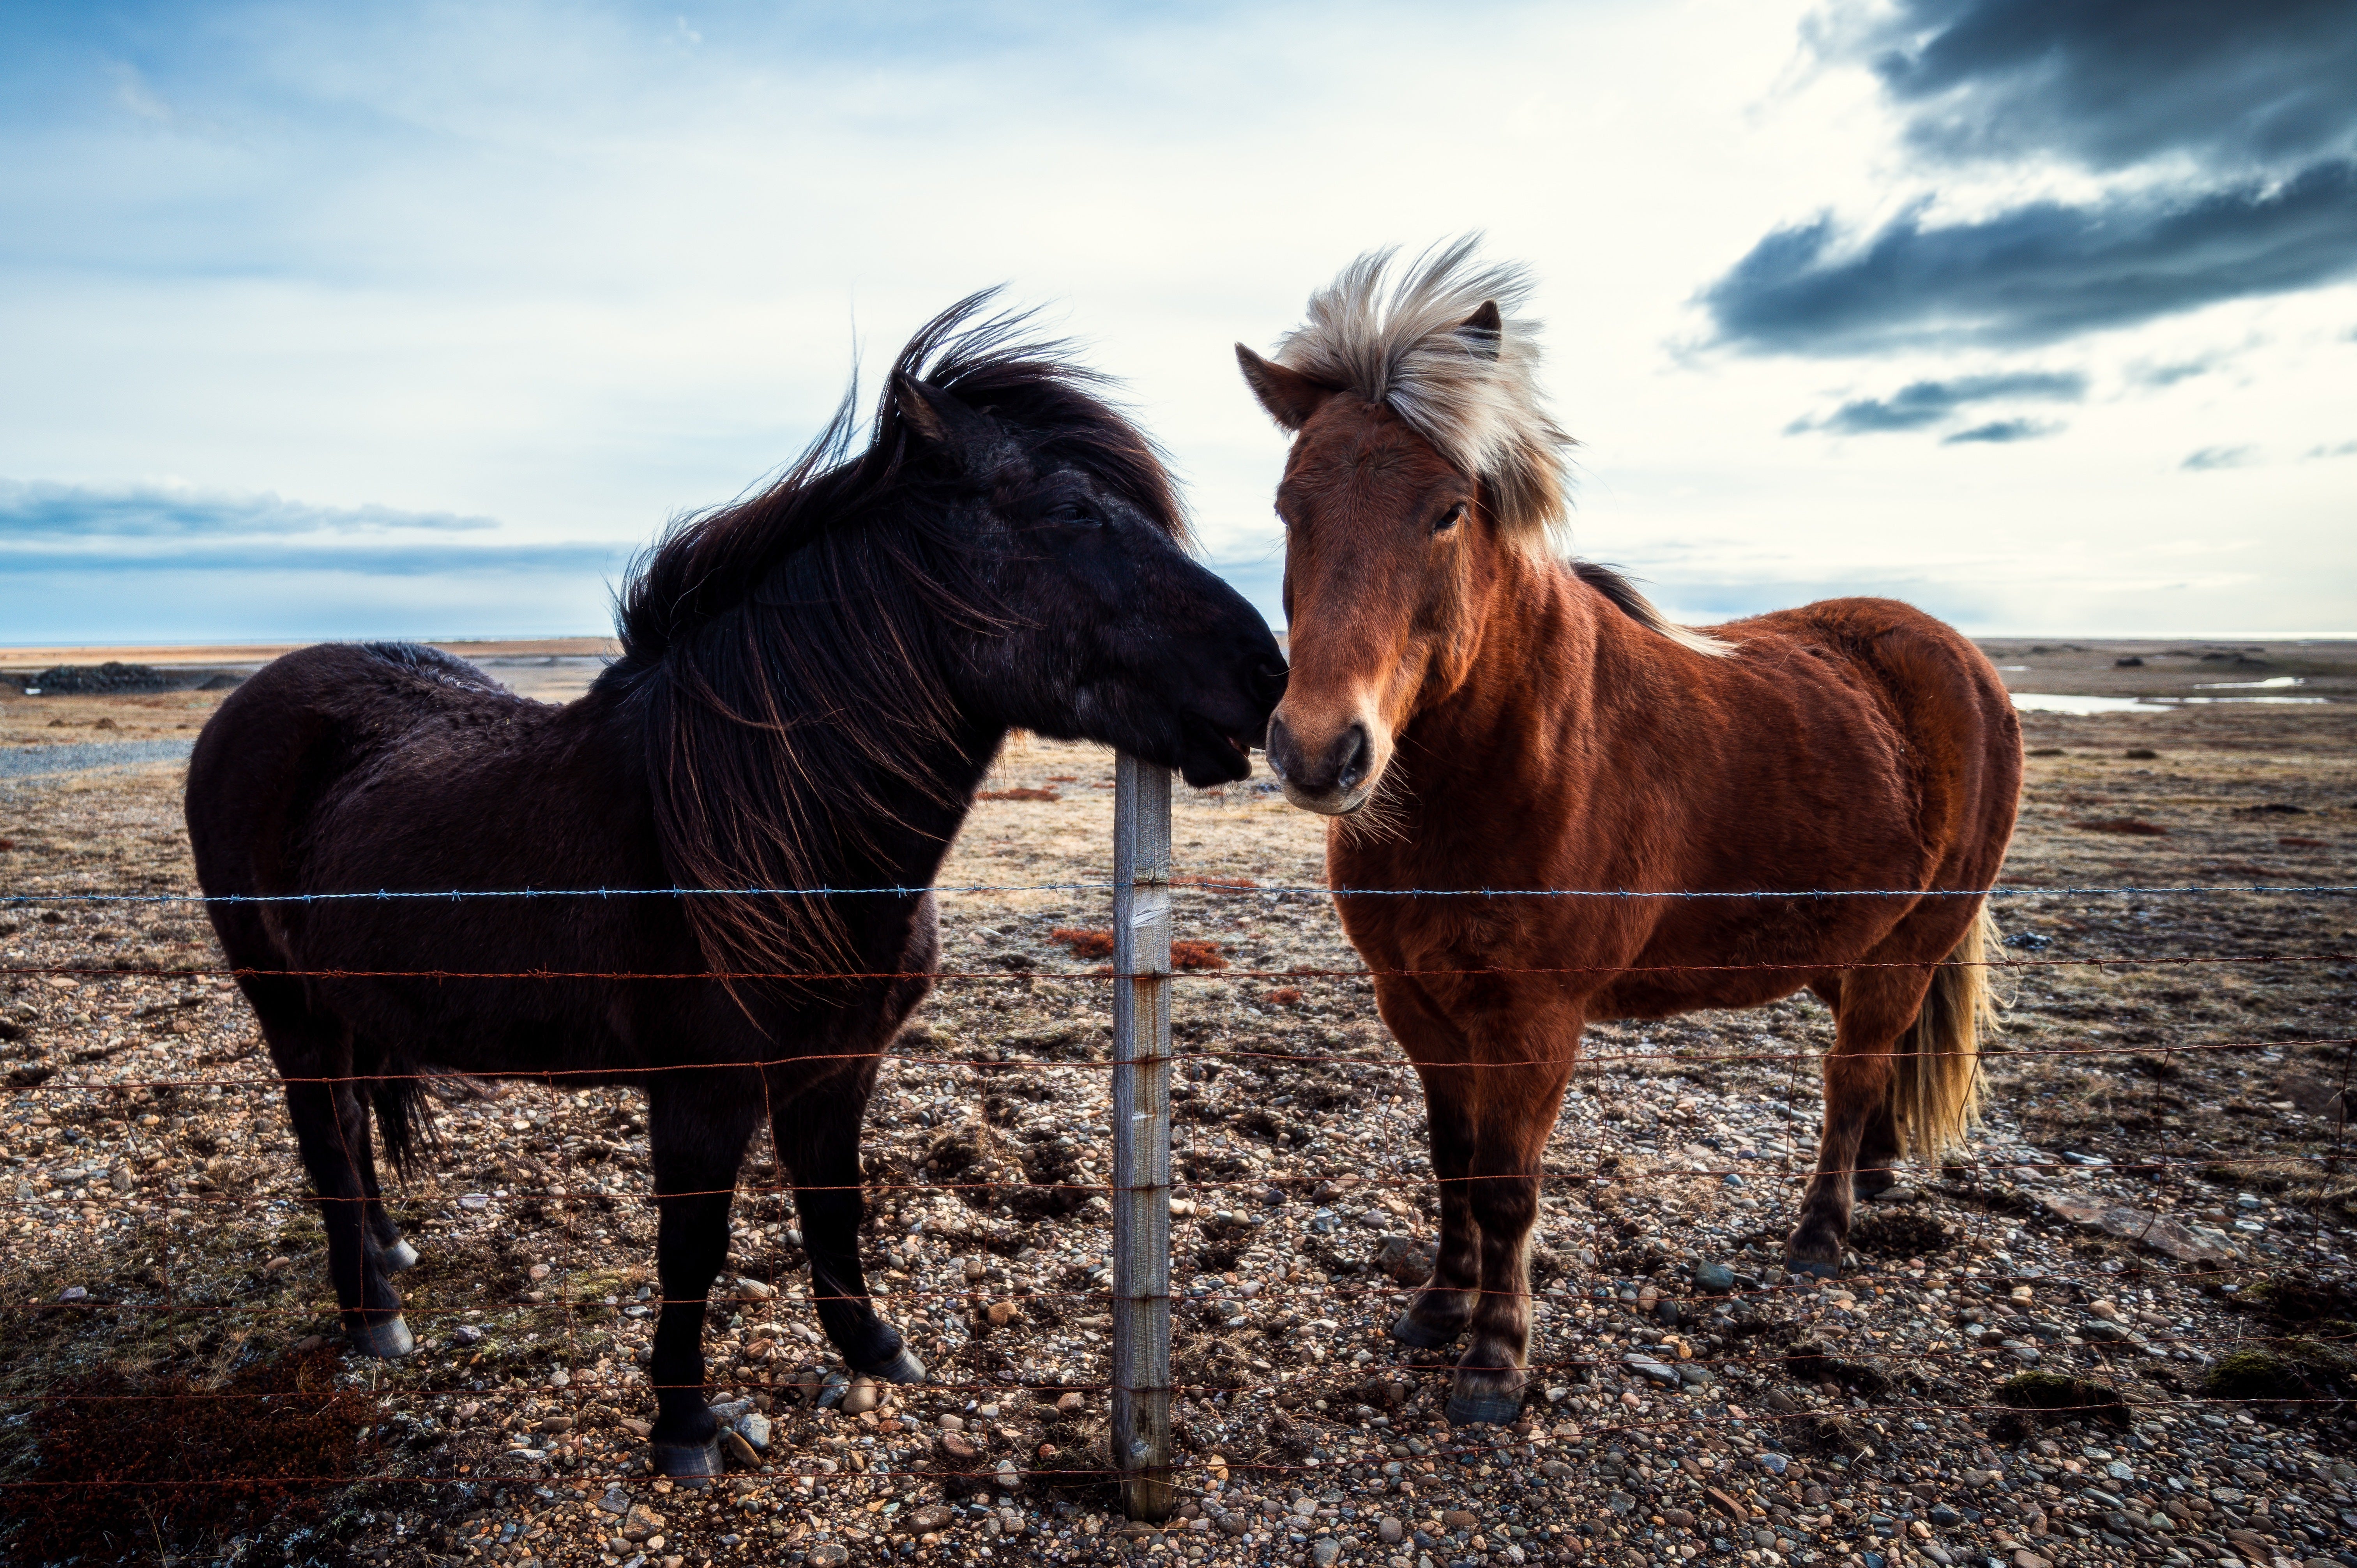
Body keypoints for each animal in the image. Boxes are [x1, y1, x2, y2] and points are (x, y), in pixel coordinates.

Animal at [184, 302, 1292, 1481]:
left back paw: (390, 1254)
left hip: (343, 1002)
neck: (778, 833)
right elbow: (694, 1247)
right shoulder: (702, 1088)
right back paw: (371, 1314)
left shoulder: (838, 1065)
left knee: (350, 1124)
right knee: (323, 1134)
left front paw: (872, 1345)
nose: (1270, 676)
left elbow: (837, 1206)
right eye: (1076, 512)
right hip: (285, 1004)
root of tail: (249, 703)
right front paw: (682, 1421)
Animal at [1235, 242, 2027, 1414]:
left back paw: (1821, 1231)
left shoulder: (1535, 1020)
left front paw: (1495, 1357)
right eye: (1292, 508)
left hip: (1915, 936)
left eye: (1448, 510)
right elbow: (1452, 1161)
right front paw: (1436, 1306)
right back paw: (1876, 1178)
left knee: (1849, 1073)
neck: (1492, 778)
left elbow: (1508, 1185)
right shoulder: (1415, 1003)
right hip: (1848, 942)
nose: (1320, 751)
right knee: (1876, 1064)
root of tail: (1959, 654)